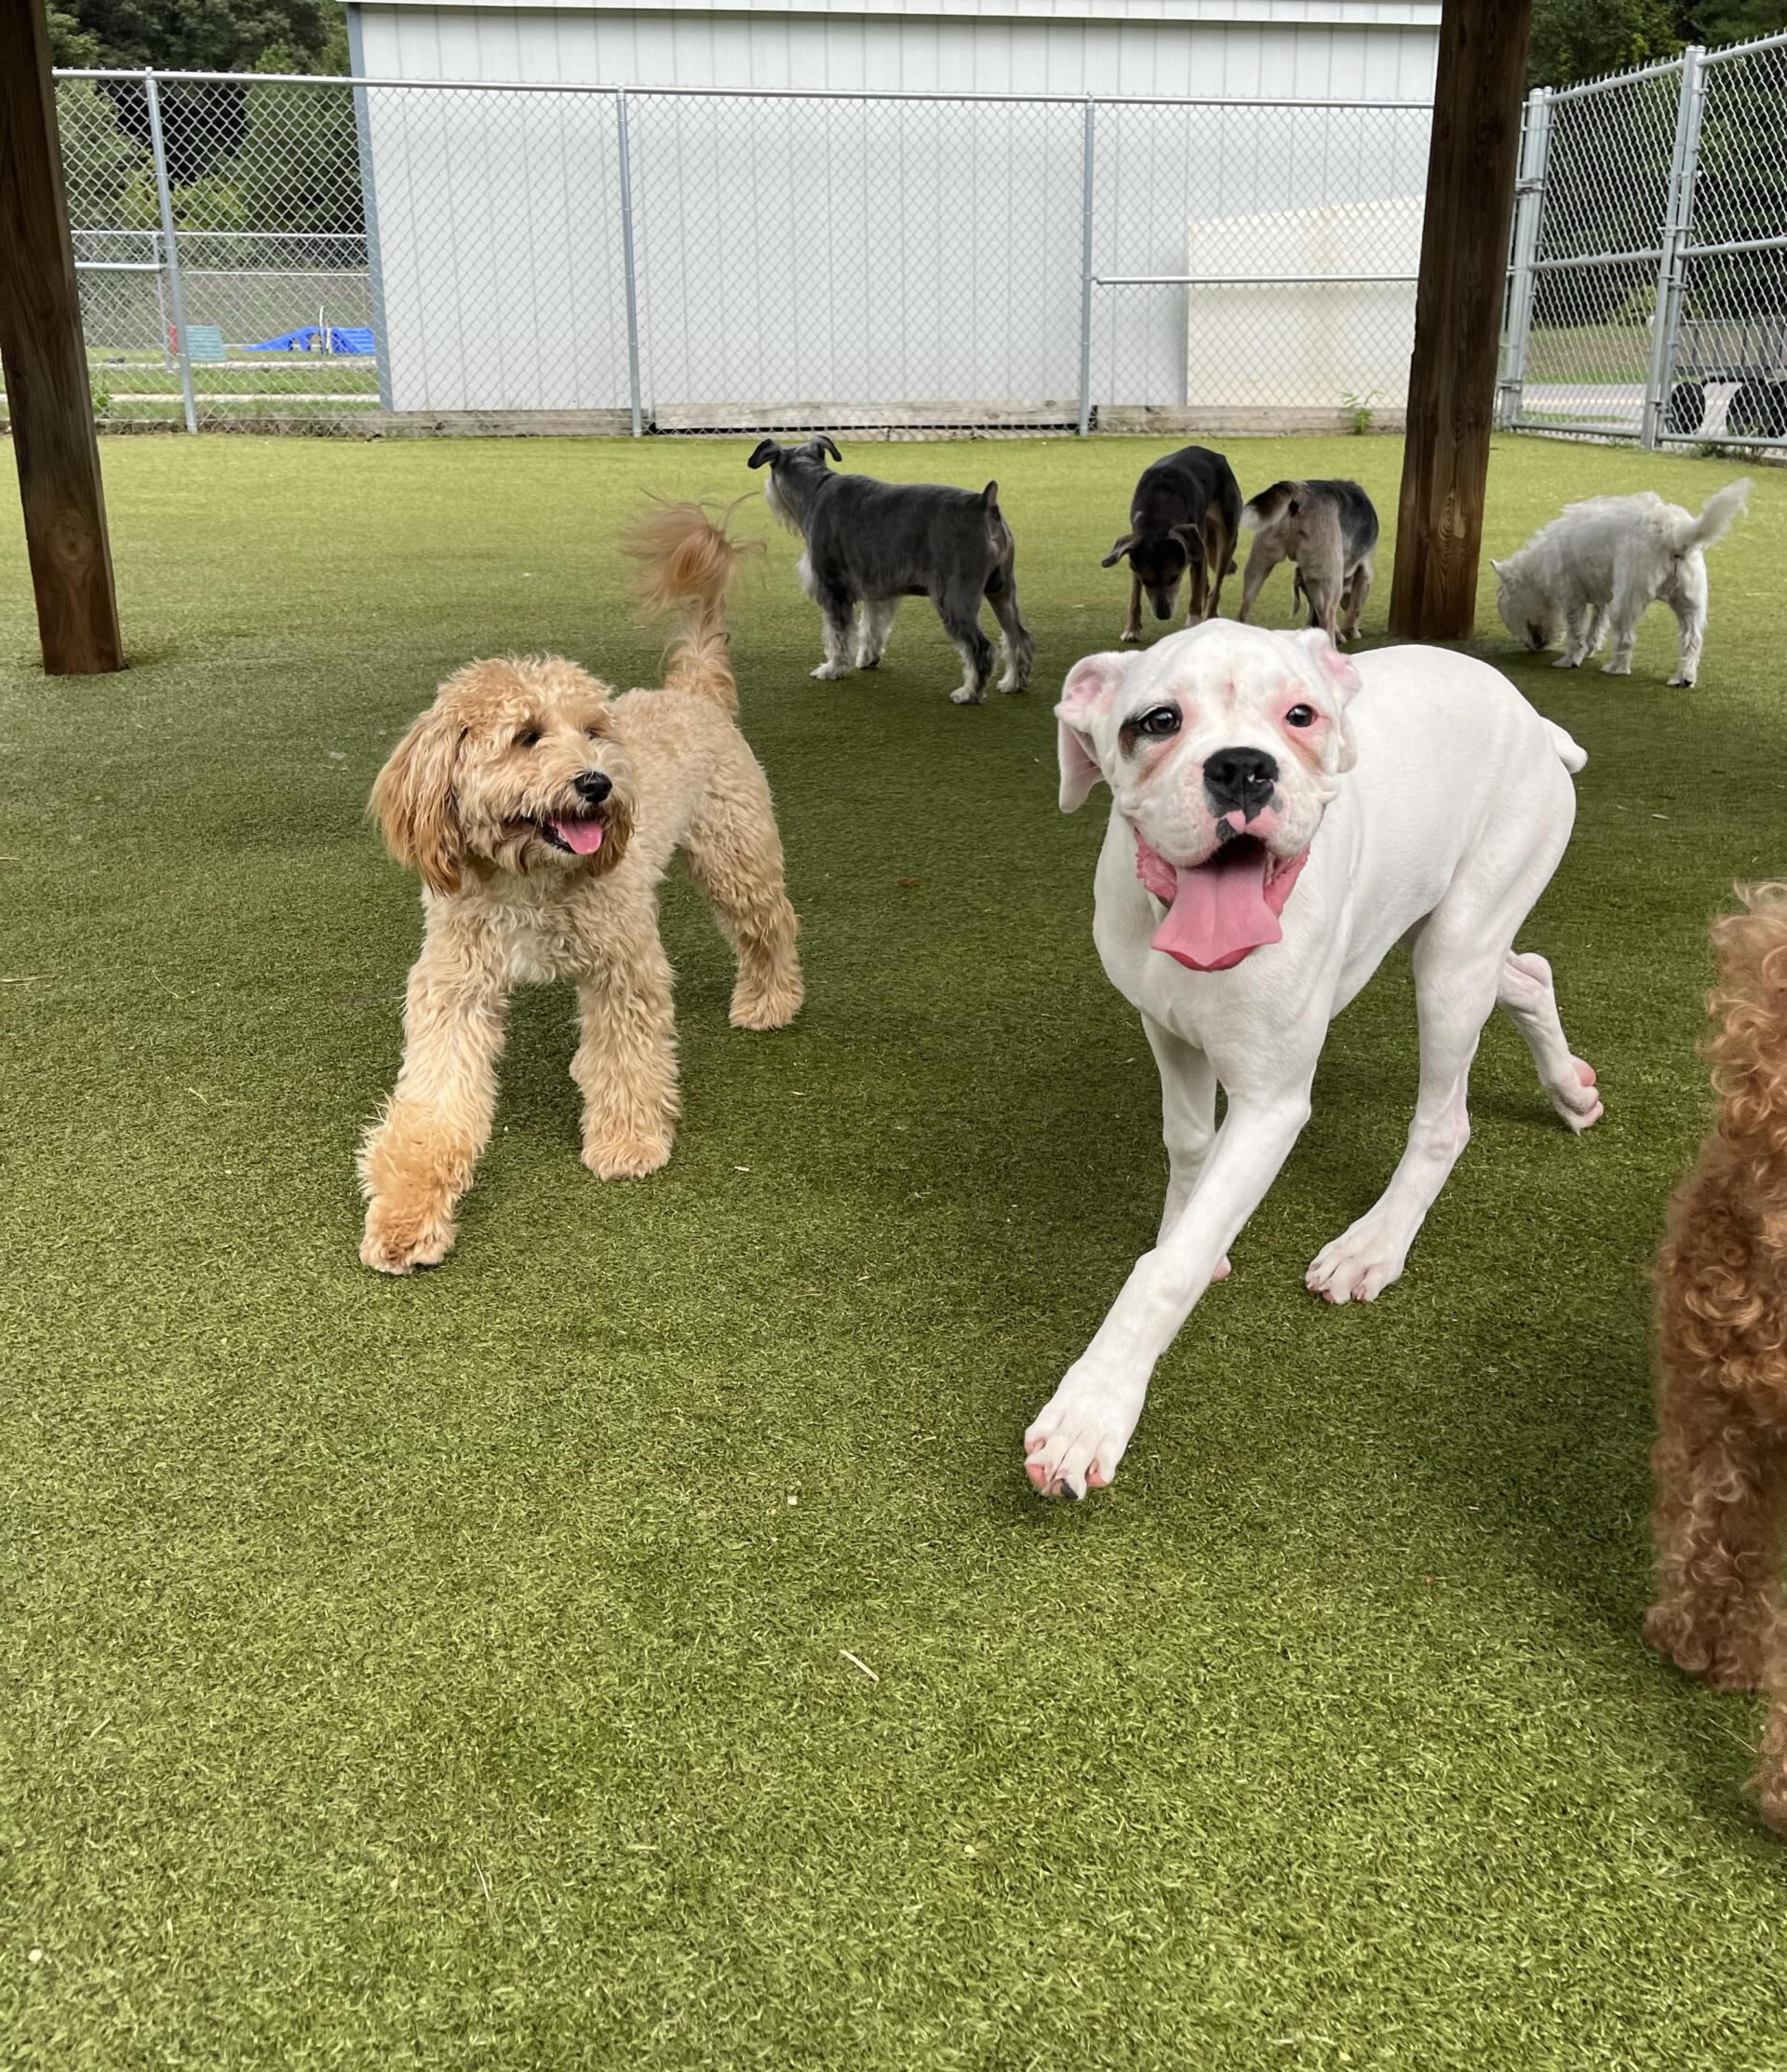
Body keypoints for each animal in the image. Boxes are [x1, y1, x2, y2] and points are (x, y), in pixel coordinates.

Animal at [357, 509, 803, 1268]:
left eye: (594, 731)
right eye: (525, 736)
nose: (597, 782)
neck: (528, 878)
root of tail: (692, 691)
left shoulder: (623, 966)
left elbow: (628, 1060)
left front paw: (627, 1144)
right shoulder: (453, 988)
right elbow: (434, 1104)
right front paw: (406, 1216)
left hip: (735, 854)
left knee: (772, 924)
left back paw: (770, 1001)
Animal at [1027, 621, 1598, 1500]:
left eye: (1301, 715)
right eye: (1158, 721)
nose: (1242, 767)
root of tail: (1534, 719)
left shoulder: (1272, 1102)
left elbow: (1165, 1272)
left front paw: (1091, 1410)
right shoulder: (1168, 1031)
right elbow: (1189, 1151)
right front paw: (1192, 1226)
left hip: (1456, 954)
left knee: (1446, 1120)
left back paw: (1374, 1246)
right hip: (1449, 938)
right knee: (1529, 973)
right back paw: (1570, 1089)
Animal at [1101, 447, 1242, 642]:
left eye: (1174, 578)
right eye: (1147, 581)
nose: (1163, 615)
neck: (1158, 515)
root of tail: (1216, 455)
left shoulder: (1195, 551)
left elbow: (1195, 597)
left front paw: (1193, 624)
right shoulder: (1135, 557)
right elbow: (1134, 598)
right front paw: (1131, 629)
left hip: (1227, 537)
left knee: (1215, 588)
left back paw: (1210, 615)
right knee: (1206, 584)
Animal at [1498, 476, 1747, 688]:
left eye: (1508, 612)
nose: (1530, 648)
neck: (1539, 564)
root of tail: (1672, 533)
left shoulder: (1572, 599)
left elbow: (1576, 633)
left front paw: (1570, 660)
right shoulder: (1602, 599)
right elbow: (1595, 628)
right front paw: (1588, 652)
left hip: (1627, 601)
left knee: (1626, 639)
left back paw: (1616, 668)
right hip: (1689, 604)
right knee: (1692, 641)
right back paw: (1683, 679)